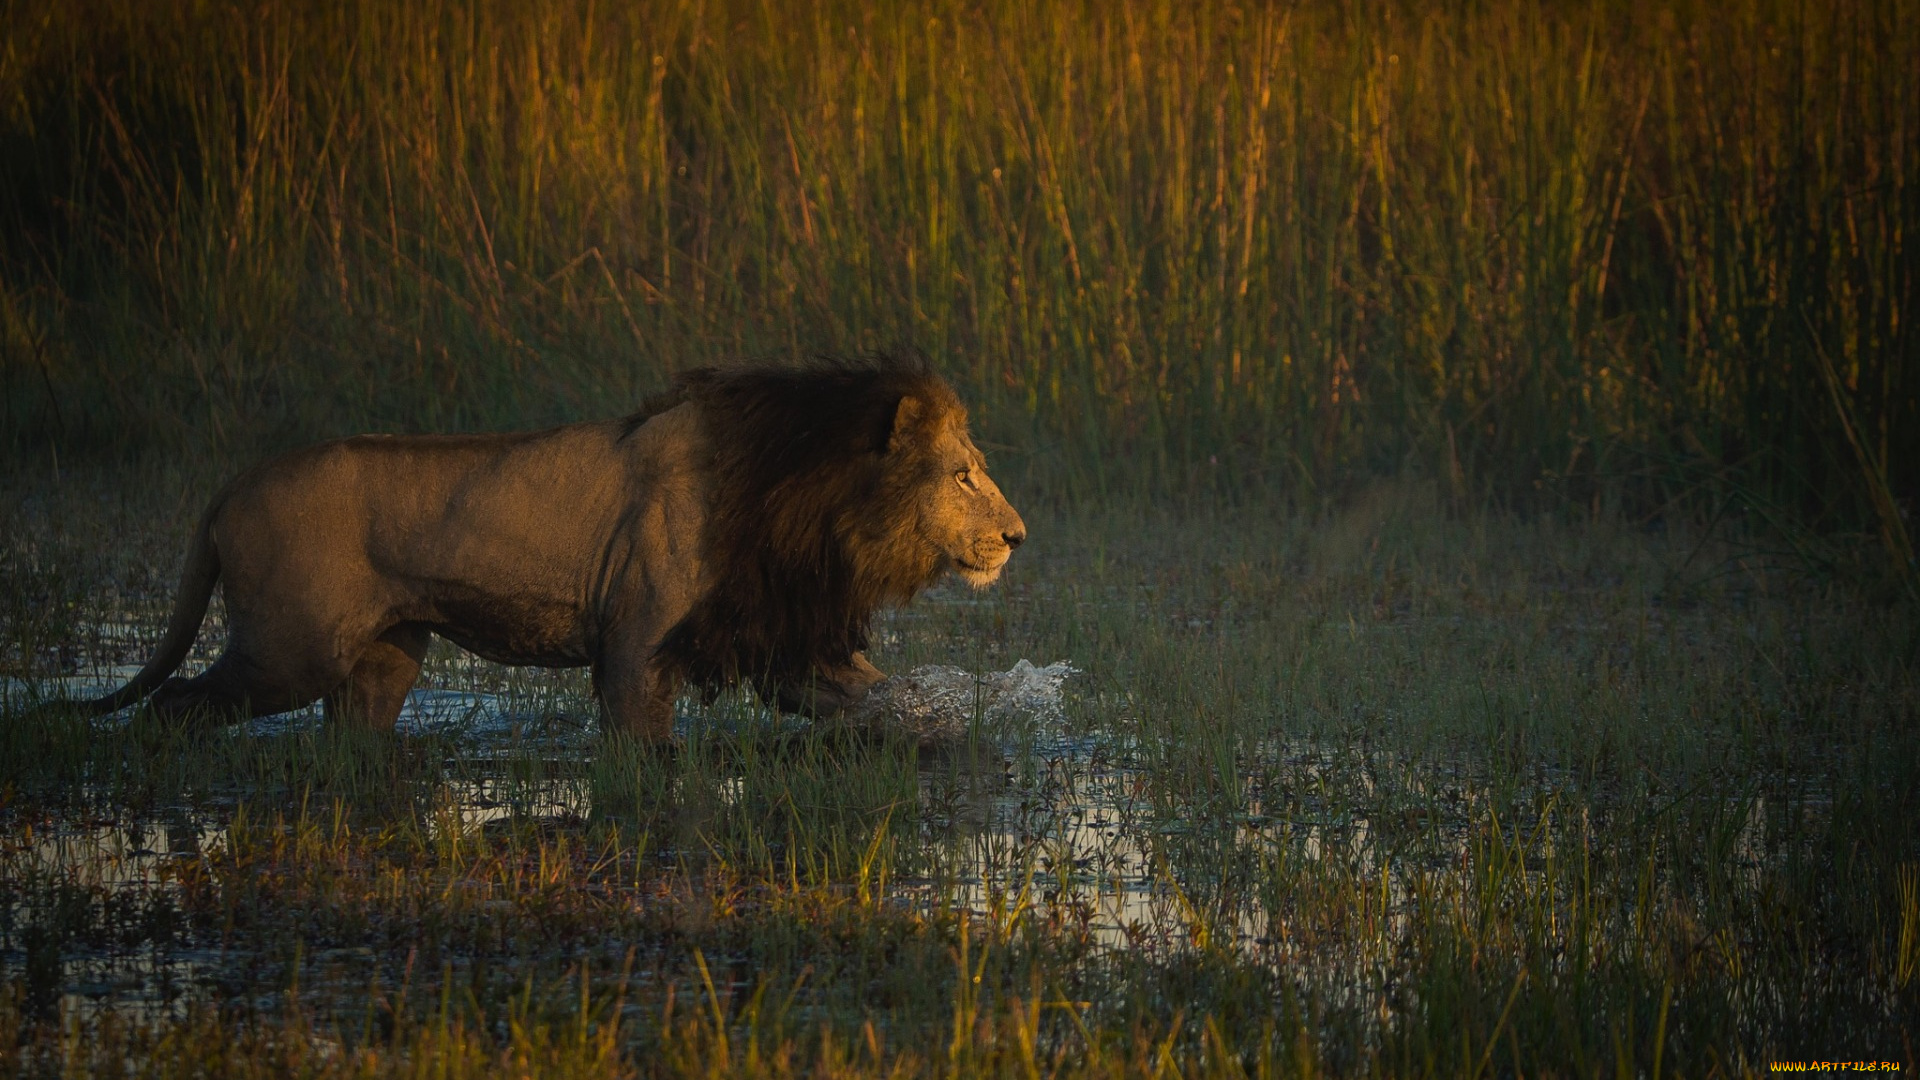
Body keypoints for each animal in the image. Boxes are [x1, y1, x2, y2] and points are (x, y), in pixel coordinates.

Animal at [41, 357, 1021, 734]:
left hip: (383, 661)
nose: (1016, 536)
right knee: (175, 707)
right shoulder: (636, 645)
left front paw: (944, 740)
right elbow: (642, 758)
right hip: (289, 648)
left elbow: (877, 699)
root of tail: (231, 485)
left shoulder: (777, 641)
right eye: (964, 475)